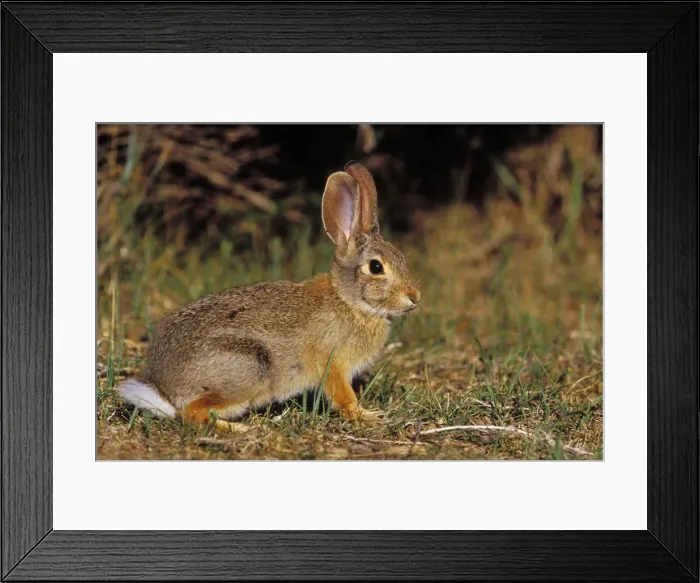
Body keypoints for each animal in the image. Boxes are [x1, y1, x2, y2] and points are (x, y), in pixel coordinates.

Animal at [116, 161, 421, 432]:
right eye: (376, 267)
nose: (414, 297)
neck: (350, 301)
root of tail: (165, 389)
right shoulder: (331, 362)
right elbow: (343, 396)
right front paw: (365, 415)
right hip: (250, 369)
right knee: (191, 414)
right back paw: (236, 429)